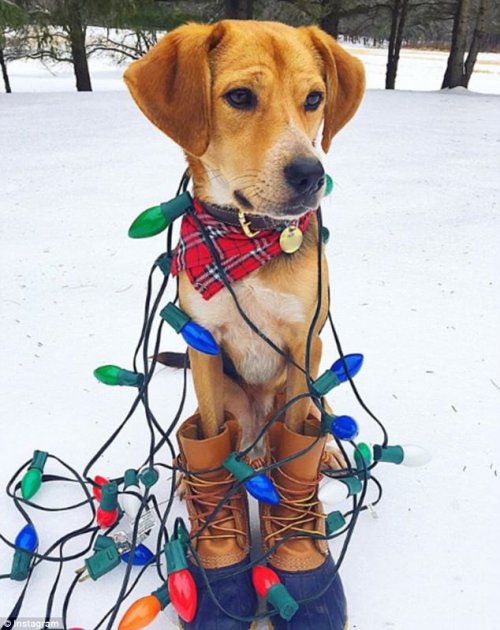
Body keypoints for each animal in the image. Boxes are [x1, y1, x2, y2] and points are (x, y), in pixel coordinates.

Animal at [126, 19, 364, 452]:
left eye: (314, 98)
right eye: (239, 96)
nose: (310, 175)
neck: (245, 235)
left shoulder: (304, 343)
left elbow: (297, 428)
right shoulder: (204, 345)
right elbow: (210, 428)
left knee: (314, 414)